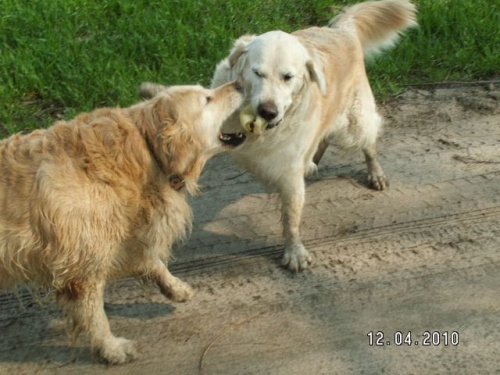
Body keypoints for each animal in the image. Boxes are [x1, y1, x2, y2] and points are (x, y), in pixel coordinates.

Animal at [0, 81, 244, 364]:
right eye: (207, 99)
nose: (239, 83)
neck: (146, 150)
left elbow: (150, 259)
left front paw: (174, 287)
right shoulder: (83, 267)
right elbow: (95, 316)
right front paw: (111, 348)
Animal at [212, 0, 418, 270]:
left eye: (288, 77)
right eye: (257, 73)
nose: (268, 111)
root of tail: (343, 31)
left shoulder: (289, 171)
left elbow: (291, 218)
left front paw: (294, 252)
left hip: (355, 122)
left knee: (367, 142)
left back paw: (376, 173)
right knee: (324, 137)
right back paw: (312, 163)